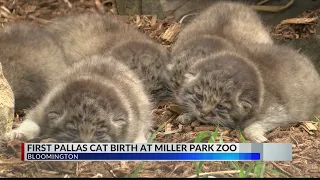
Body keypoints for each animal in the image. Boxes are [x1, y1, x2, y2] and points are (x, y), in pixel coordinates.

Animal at [169, 1, 320, 142]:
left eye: (221, 106)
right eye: (200, 96)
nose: (204, 113)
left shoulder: (279, 114)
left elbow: (250, 128)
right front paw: (187, 114)